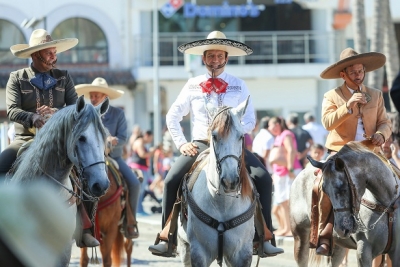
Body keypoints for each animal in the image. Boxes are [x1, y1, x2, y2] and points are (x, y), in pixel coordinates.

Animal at [178, 98, 256, 267]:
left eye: (241, 136)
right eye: (214, 136)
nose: (230, 181)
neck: (223, 203)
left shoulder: (242, 254)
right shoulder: (198, 253)